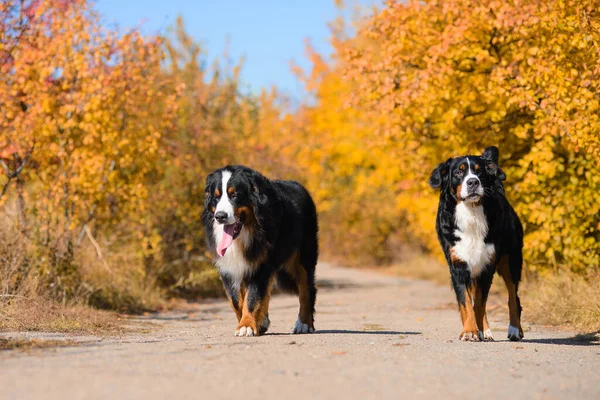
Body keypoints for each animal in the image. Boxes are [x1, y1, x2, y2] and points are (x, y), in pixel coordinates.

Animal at [203, 164, 318, 336]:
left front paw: (246, 325)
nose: (220, 216)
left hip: (304, 257)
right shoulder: (228, 267)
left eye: (234, 195)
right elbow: (236, 300)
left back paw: (304, 324)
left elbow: (252, 297)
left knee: (306, 289)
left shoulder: (261, 263)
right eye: (216, 197)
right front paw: (252, 322)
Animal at [428, 147, 524, 340]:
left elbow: (479, 303)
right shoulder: (458, 266)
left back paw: (514, 329)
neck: (471, 214)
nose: (473, 182)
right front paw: (470, 331)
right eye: (459, 172)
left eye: (479, 171)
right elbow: (466, 303)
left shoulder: (487, 264)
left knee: (513, 296)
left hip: (511, 260)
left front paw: (476, 329)